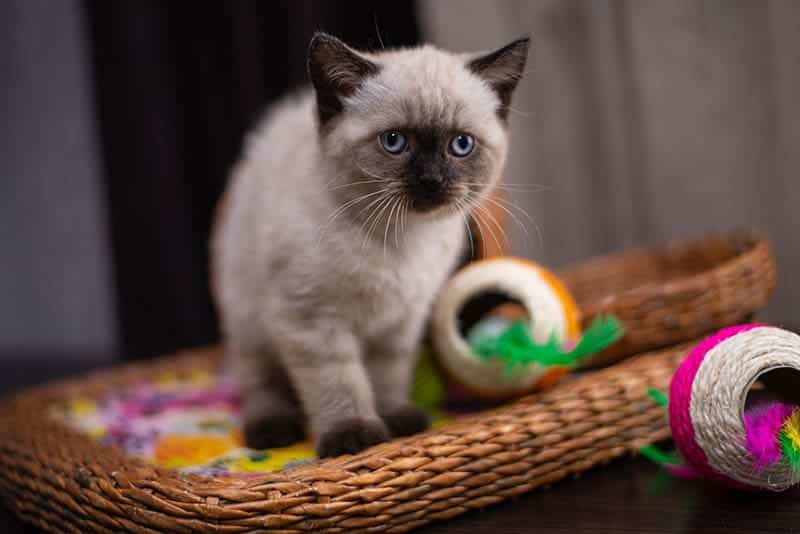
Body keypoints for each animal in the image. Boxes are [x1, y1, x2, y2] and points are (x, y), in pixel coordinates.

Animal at [209, 32, 528, 456]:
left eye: (461, 144)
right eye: (394, 142)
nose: (431, 180)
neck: (400, 239)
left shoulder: (400, 323)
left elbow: (386, 376)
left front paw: (397, 420)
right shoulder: (312, 321)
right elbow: (340, 382)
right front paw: (353, 437)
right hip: (249, 321)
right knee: (259, 381)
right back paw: (272, 430)